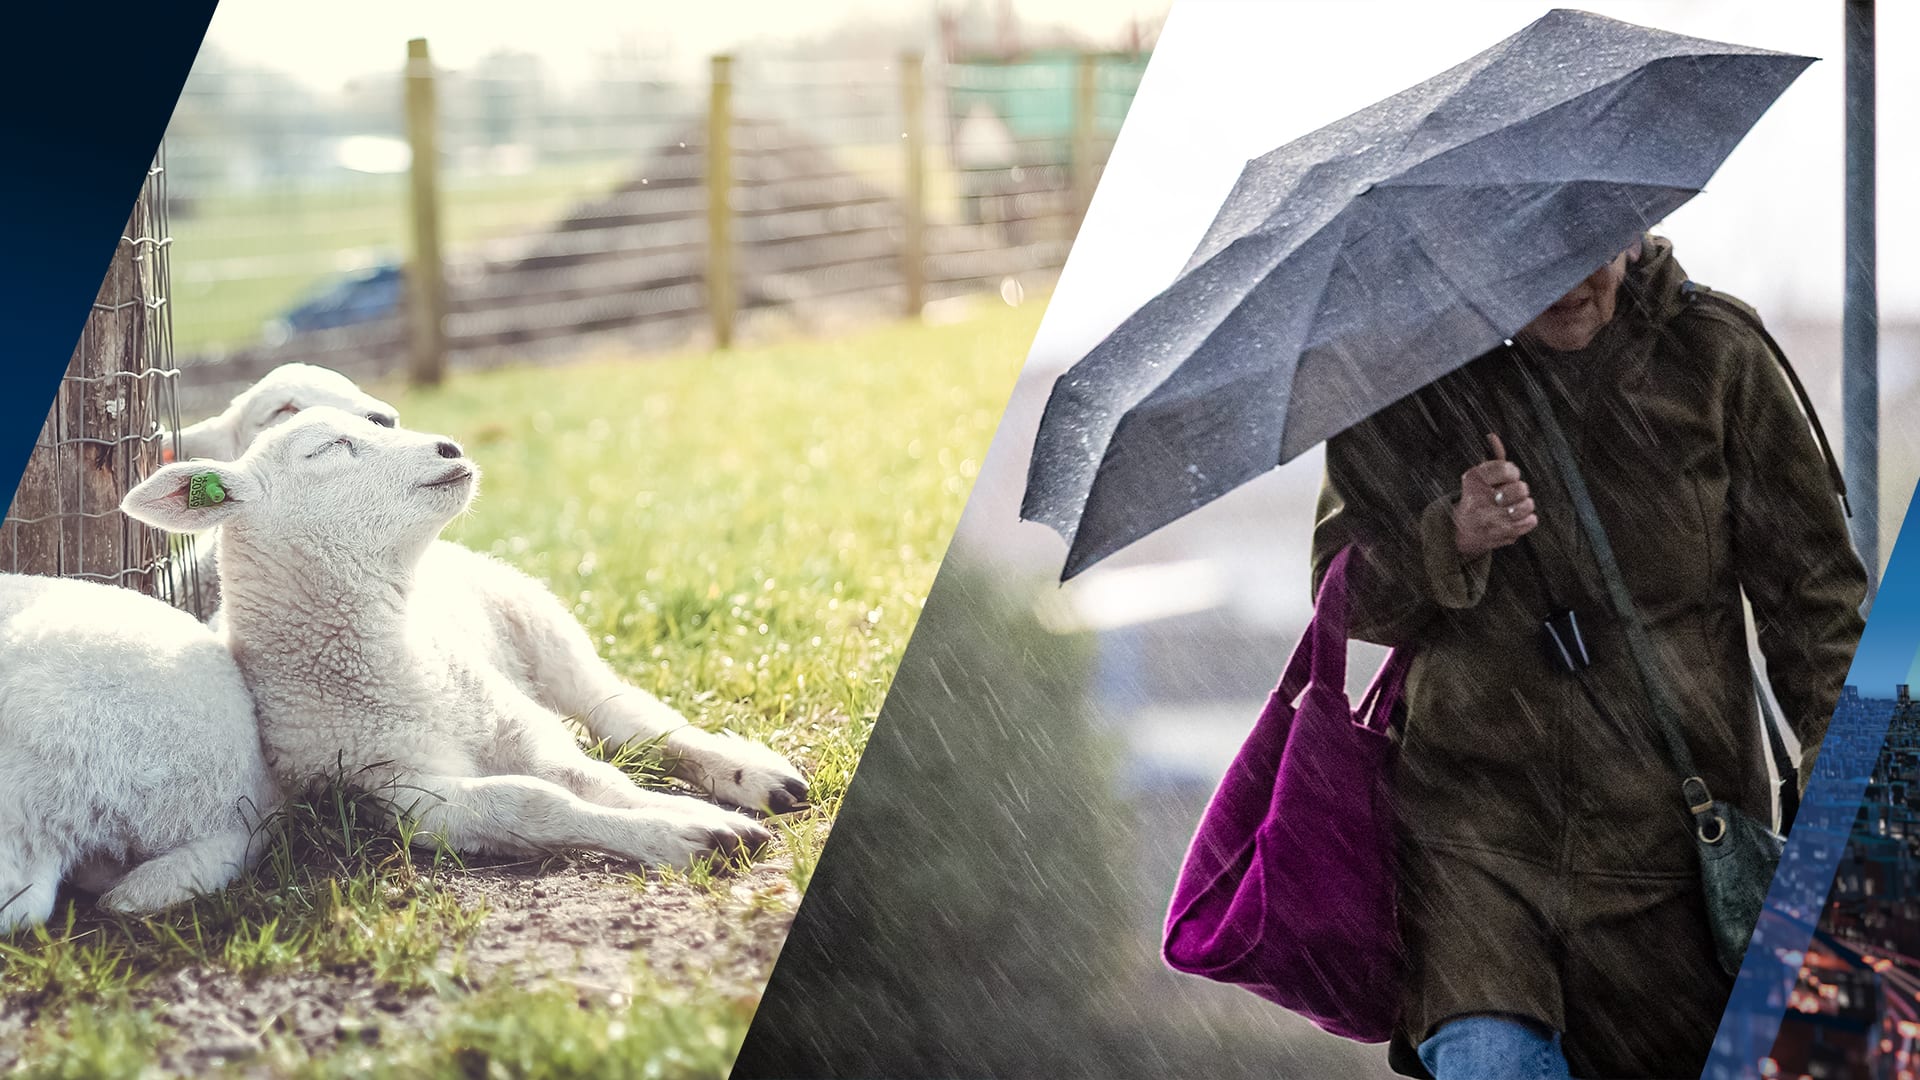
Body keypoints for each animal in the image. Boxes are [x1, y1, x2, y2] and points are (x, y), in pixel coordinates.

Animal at [121, 407, 794, 868]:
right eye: (330, 448)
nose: (449, 446)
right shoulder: (395, 791)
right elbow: (535, 801)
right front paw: (689, 834)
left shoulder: (515, 722)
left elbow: (593, 779)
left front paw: (695, 816)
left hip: (538, 621)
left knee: (628, 718)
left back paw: (756, 777)